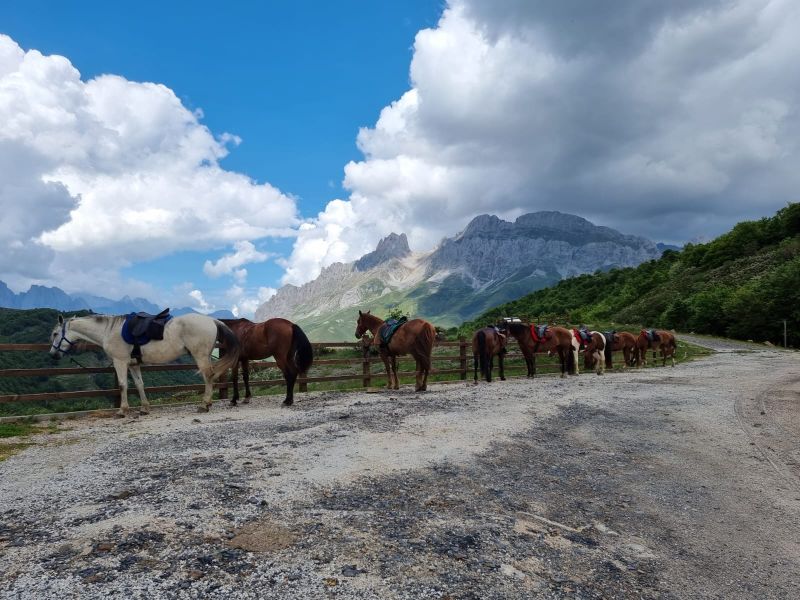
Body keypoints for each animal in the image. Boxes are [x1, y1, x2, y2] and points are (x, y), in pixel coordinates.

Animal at [47, 314, 238, 418]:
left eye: (55, 333)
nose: (53, 355)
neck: (108, 331)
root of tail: (212, 320)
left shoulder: (120, 362)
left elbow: (122, 385)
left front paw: (122, 411)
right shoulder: (133, 365)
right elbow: (139, 385)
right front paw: (144, 408)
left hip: (201, 356)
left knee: (208, 377)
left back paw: (204, 405)